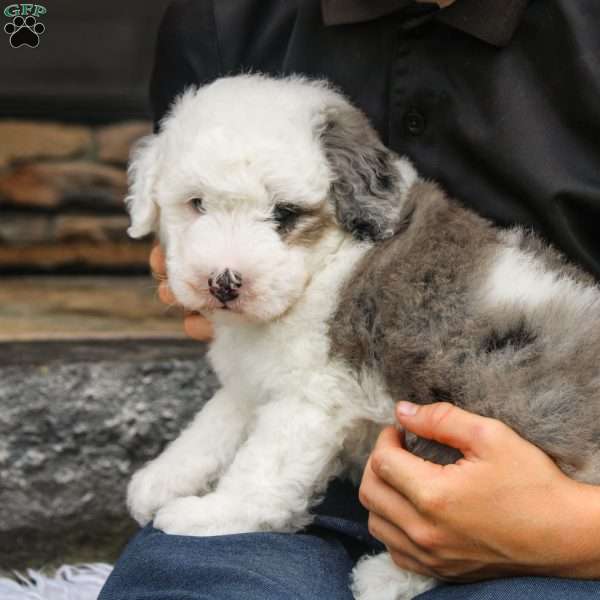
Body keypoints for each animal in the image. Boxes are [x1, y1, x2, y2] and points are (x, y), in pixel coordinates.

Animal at [123, 75, 600, 600]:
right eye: (197, 204)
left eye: (285, 213)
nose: (224, 282)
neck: (321, 267)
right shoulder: (257, 376)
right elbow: (214, 423)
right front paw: (160, 479)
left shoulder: (310, 397)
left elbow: (261, 470)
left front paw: (210, 516)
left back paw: (386, 577)